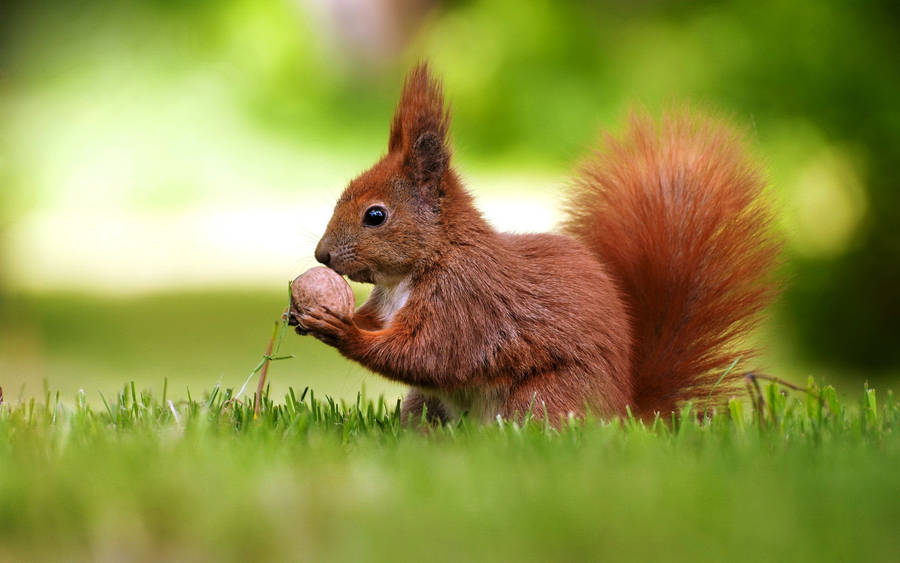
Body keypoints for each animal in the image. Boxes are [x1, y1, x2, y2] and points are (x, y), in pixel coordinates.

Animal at [291, 63, 780, 424]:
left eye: (376, 216)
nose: (322, 255)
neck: (416, 270)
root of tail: (625, 412)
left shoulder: (467, 303)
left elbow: (427, 355)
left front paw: (343, 331)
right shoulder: (390, 304)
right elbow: (384, 328)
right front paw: (308, 314)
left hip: (542, 397)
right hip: (426, 404)